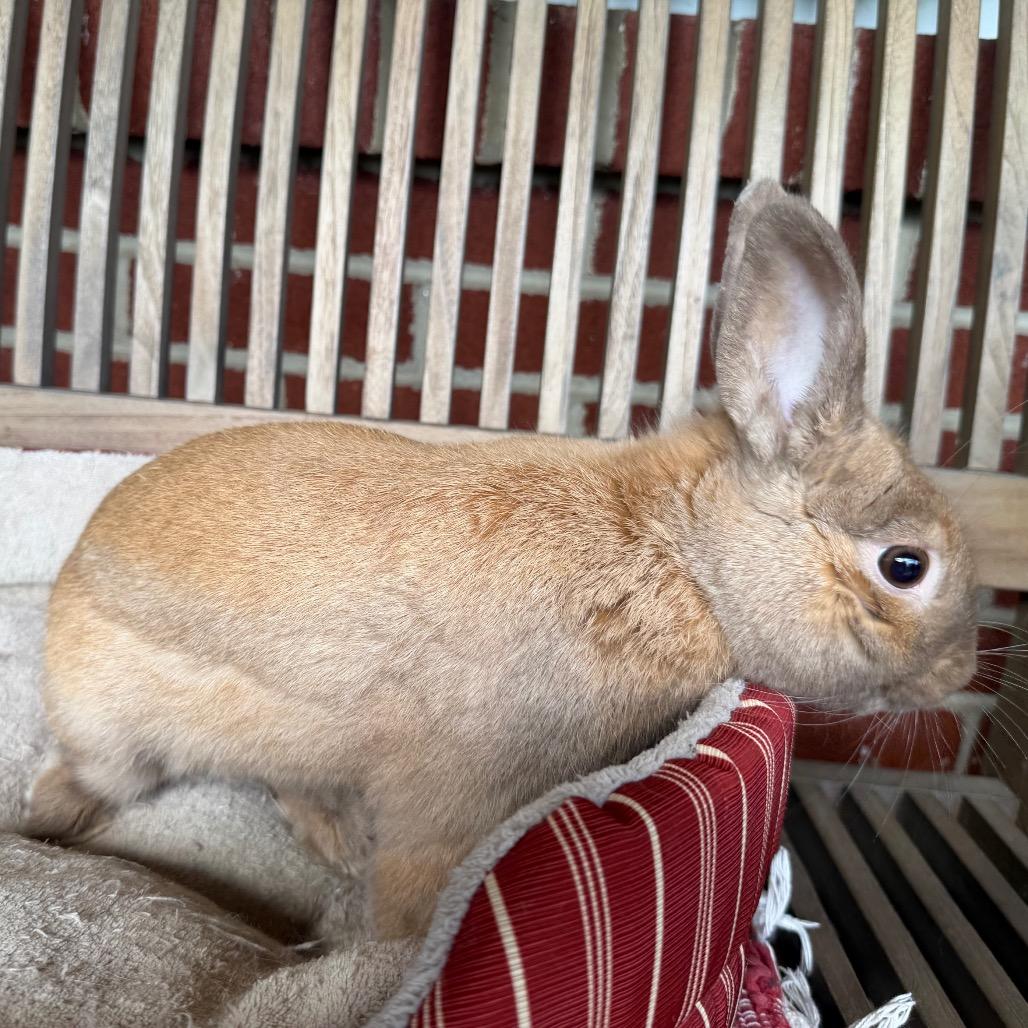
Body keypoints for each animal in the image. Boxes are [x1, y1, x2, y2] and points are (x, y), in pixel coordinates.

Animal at [25, 180, 977, 939]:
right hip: (116, 727)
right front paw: (390, 949)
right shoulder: (456, 795)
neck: (681, 560)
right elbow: (417, 888)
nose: (965, 672)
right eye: (905, 566)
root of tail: (70, 578)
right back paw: (47, 817)